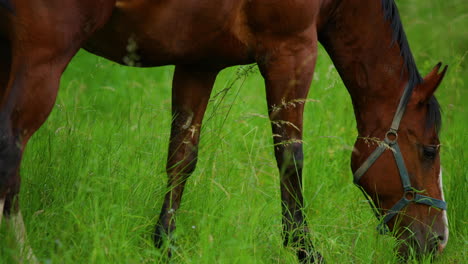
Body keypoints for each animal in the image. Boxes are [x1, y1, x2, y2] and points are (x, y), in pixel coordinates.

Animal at [1, 0, 452, 262]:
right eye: (430, 150)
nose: (440, 242)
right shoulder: (293, 52)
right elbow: (290, 157)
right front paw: (305, 249)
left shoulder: (197, 63)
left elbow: (181, 157)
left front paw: (165, 245)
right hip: (41, 57)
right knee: (10, 151)